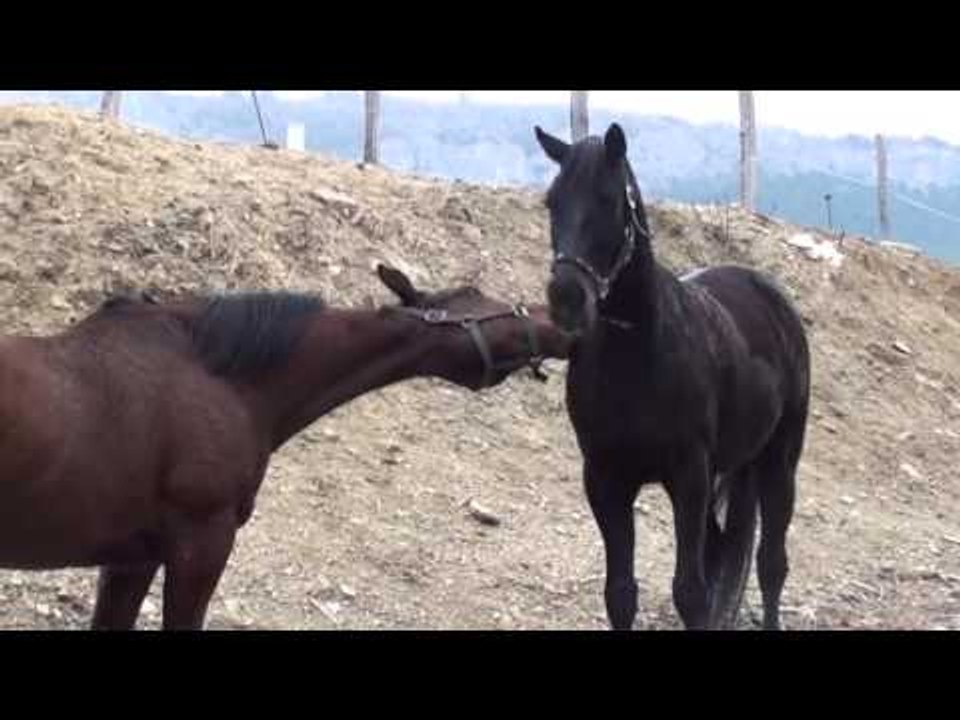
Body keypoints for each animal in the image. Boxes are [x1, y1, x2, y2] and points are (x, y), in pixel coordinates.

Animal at [534, 123, 810, 630]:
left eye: (609, 200)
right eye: (551, 201)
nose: (566, 298)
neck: (635, 356)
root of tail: (771, 296)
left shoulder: (689, 477)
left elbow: (690, 592)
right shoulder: (605, 479)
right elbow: (620, 593)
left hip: (778, 461)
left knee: (770, 564)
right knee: (724, 549)